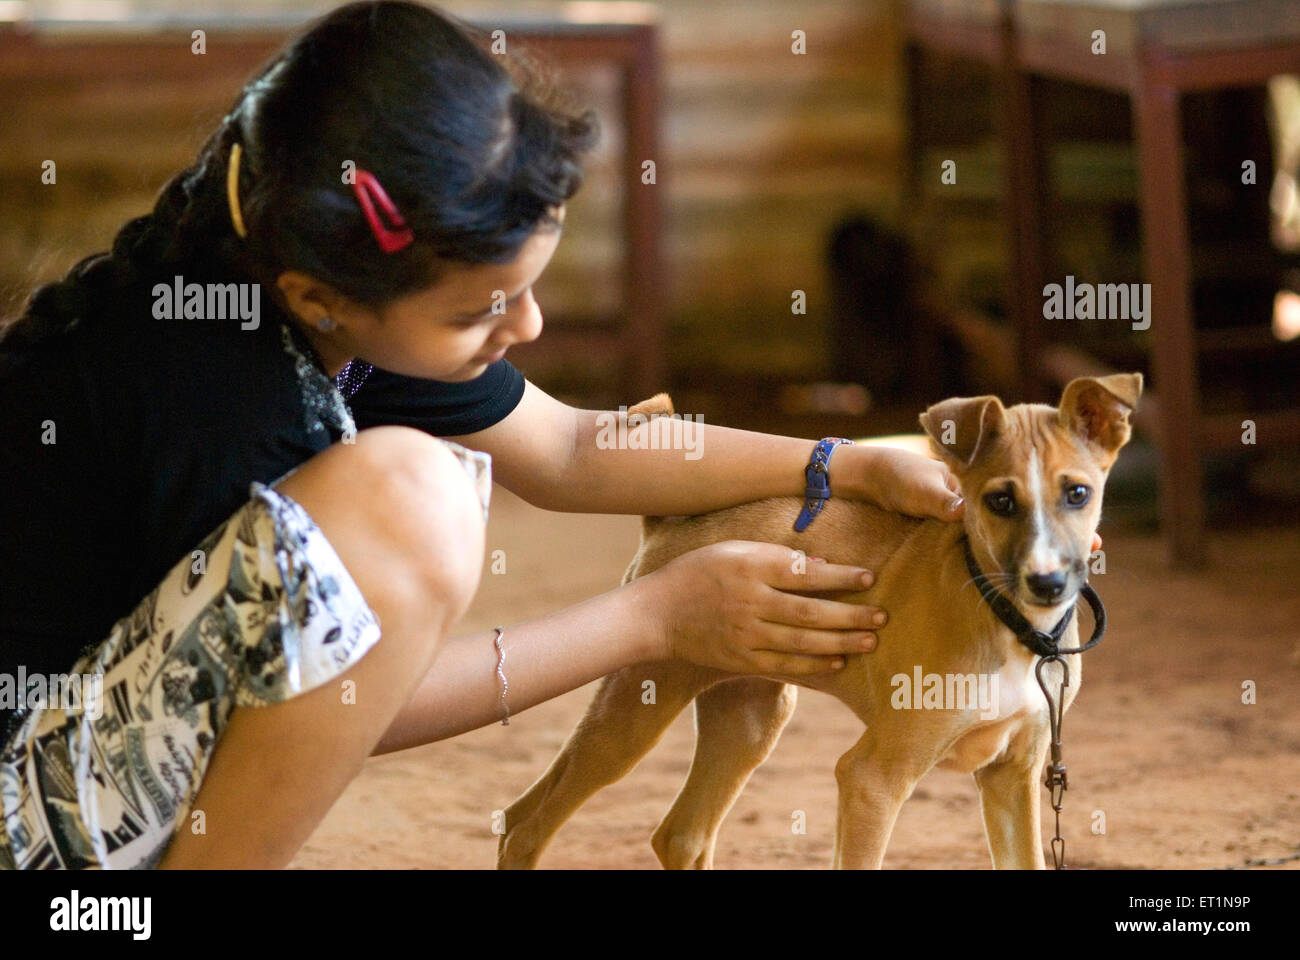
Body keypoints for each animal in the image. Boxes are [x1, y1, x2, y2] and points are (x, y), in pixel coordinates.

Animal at [496, 374, 1138, 868]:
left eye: (1078, 493)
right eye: (999, 501)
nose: (1047, 583)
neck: (1007, 622)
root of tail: (669, 524)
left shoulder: (1013, 775)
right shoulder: (872, 777)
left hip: (750, 717)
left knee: (679, 834)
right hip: (635, 706)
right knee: (526, 824)